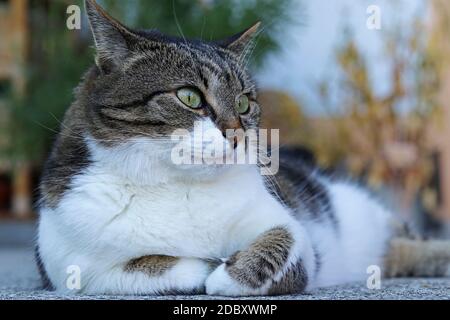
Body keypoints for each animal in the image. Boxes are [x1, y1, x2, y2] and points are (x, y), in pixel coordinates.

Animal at [36, 0, 450, 296]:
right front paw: (206, 265)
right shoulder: (70, 265)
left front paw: (227, 274)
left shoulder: (287, 225)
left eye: (244, 103)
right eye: (189, 97)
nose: (236, 134)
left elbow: (281, 244)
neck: (178, 185)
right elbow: (153, 266)